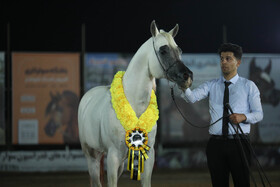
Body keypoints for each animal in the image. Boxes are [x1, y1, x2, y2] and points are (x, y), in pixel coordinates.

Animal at [78, 20, 192, 187]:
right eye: (163, 50)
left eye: (179, 50)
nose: (187, 76)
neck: (134, 104)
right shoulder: (113, 156)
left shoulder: (148, 155)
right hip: (92, 156)